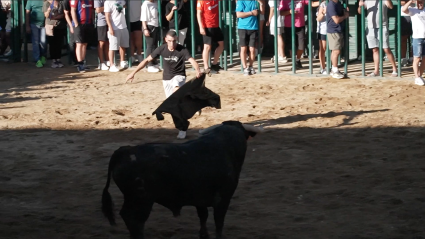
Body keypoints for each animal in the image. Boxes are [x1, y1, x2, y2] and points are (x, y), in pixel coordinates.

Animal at [101, 121, 264, 239]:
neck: (225, 144)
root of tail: (125, 150)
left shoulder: (200, 199)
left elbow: (203, 216)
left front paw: (204, 235)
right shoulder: (223, 199)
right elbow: (218, 222)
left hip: (131, 199)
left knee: (125, 216)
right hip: (141, 201)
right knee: (135, 221)